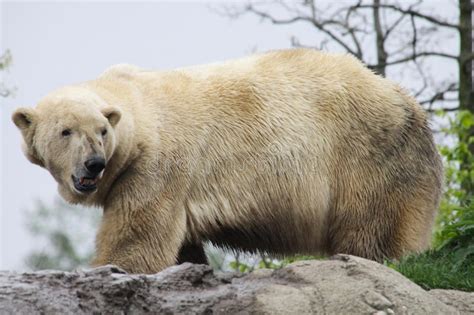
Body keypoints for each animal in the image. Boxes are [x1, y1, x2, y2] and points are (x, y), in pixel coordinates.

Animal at [12, 48, 442, 274]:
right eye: (66, 131)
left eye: (101, 130)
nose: (94, 164)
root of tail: (410, 103)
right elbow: (179, 246)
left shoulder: (158, 167)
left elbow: (137, 240)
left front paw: (110, 270)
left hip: (369, 154)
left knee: (373, 229)